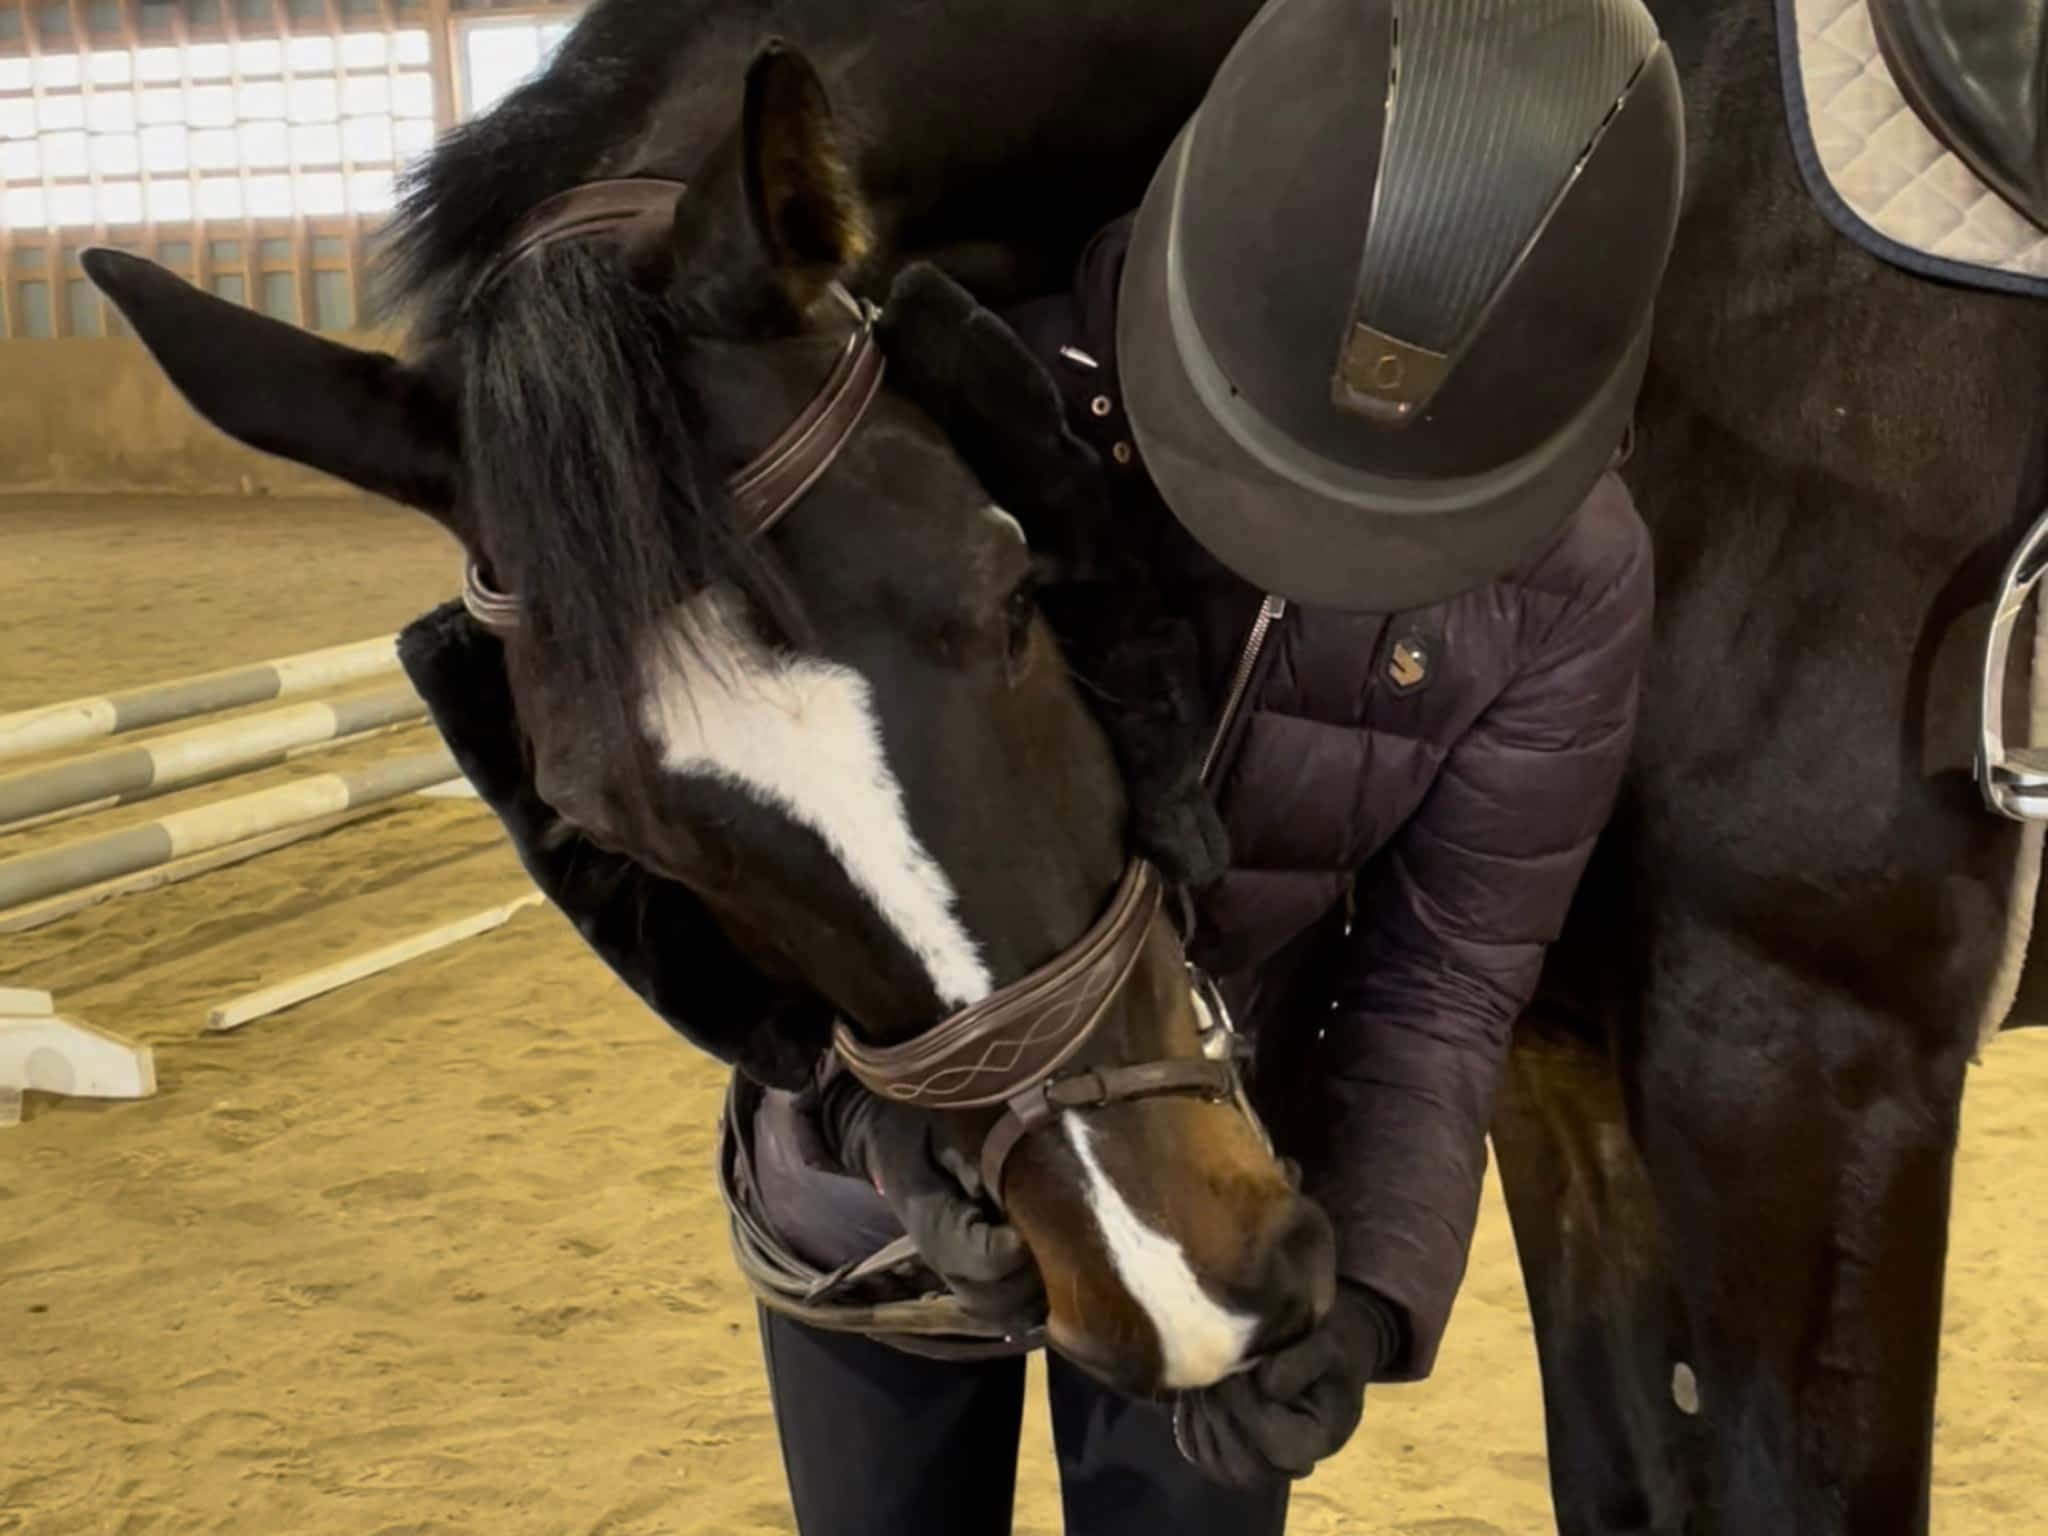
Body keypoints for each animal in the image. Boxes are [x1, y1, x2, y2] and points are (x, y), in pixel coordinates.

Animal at [83, 0, 2048, 1531]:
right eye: (596, 818)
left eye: (1009, 582)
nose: (1184, 1299)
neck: (1674, 306)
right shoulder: (1559, 1065)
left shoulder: (1803, 1069)